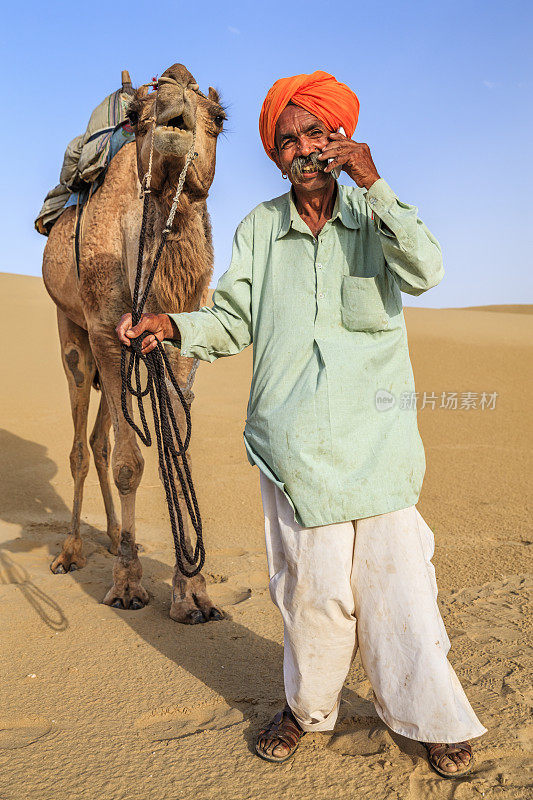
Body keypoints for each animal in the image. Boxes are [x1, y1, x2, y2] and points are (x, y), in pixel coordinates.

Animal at [41, 62, 224, 624]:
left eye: (219, 118)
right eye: (141, 119)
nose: (177, 88)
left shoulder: (179, 341)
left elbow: (173, 451)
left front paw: (193, 593)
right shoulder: (105, 329)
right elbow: (129, 465)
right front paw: (126, 585)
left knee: (101, 439)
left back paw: (115, 536)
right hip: (73, 334)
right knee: (82, 445)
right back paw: (72, 551)